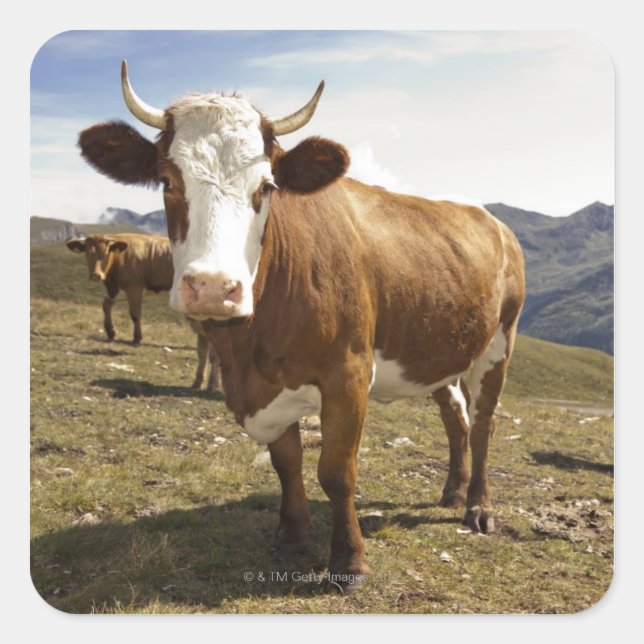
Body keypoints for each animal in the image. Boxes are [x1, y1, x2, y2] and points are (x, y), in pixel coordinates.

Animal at [65, 233, 220, 391]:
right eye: (87, 253)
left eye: (106, 253)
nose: (96, 275)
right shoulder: (120, 290)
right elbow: (106, 304)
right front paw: (110, 331)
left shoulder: (135, 287)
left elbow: (135, 314)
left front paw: (137, 338)